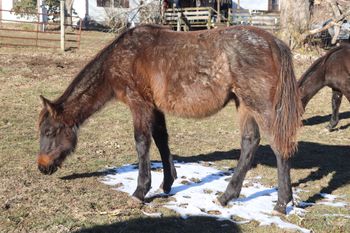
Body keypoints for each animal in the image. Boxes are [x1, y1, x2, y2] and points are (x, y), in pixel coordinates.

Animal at [36, 24, 304, 214]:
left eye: (49, 132)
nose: (42, 166)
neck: (123, 56)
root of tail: (272, 42)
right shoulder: (155, 108)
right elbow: (161, 140)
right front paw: (167, 184)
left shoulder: (140, 104)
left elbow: (142, 142)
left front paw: (140, 191)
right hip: (244, 104)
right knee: (250, 142)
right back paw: (227, 196)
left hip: (260, 106)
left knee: (279, 146)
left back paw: (281, 204)